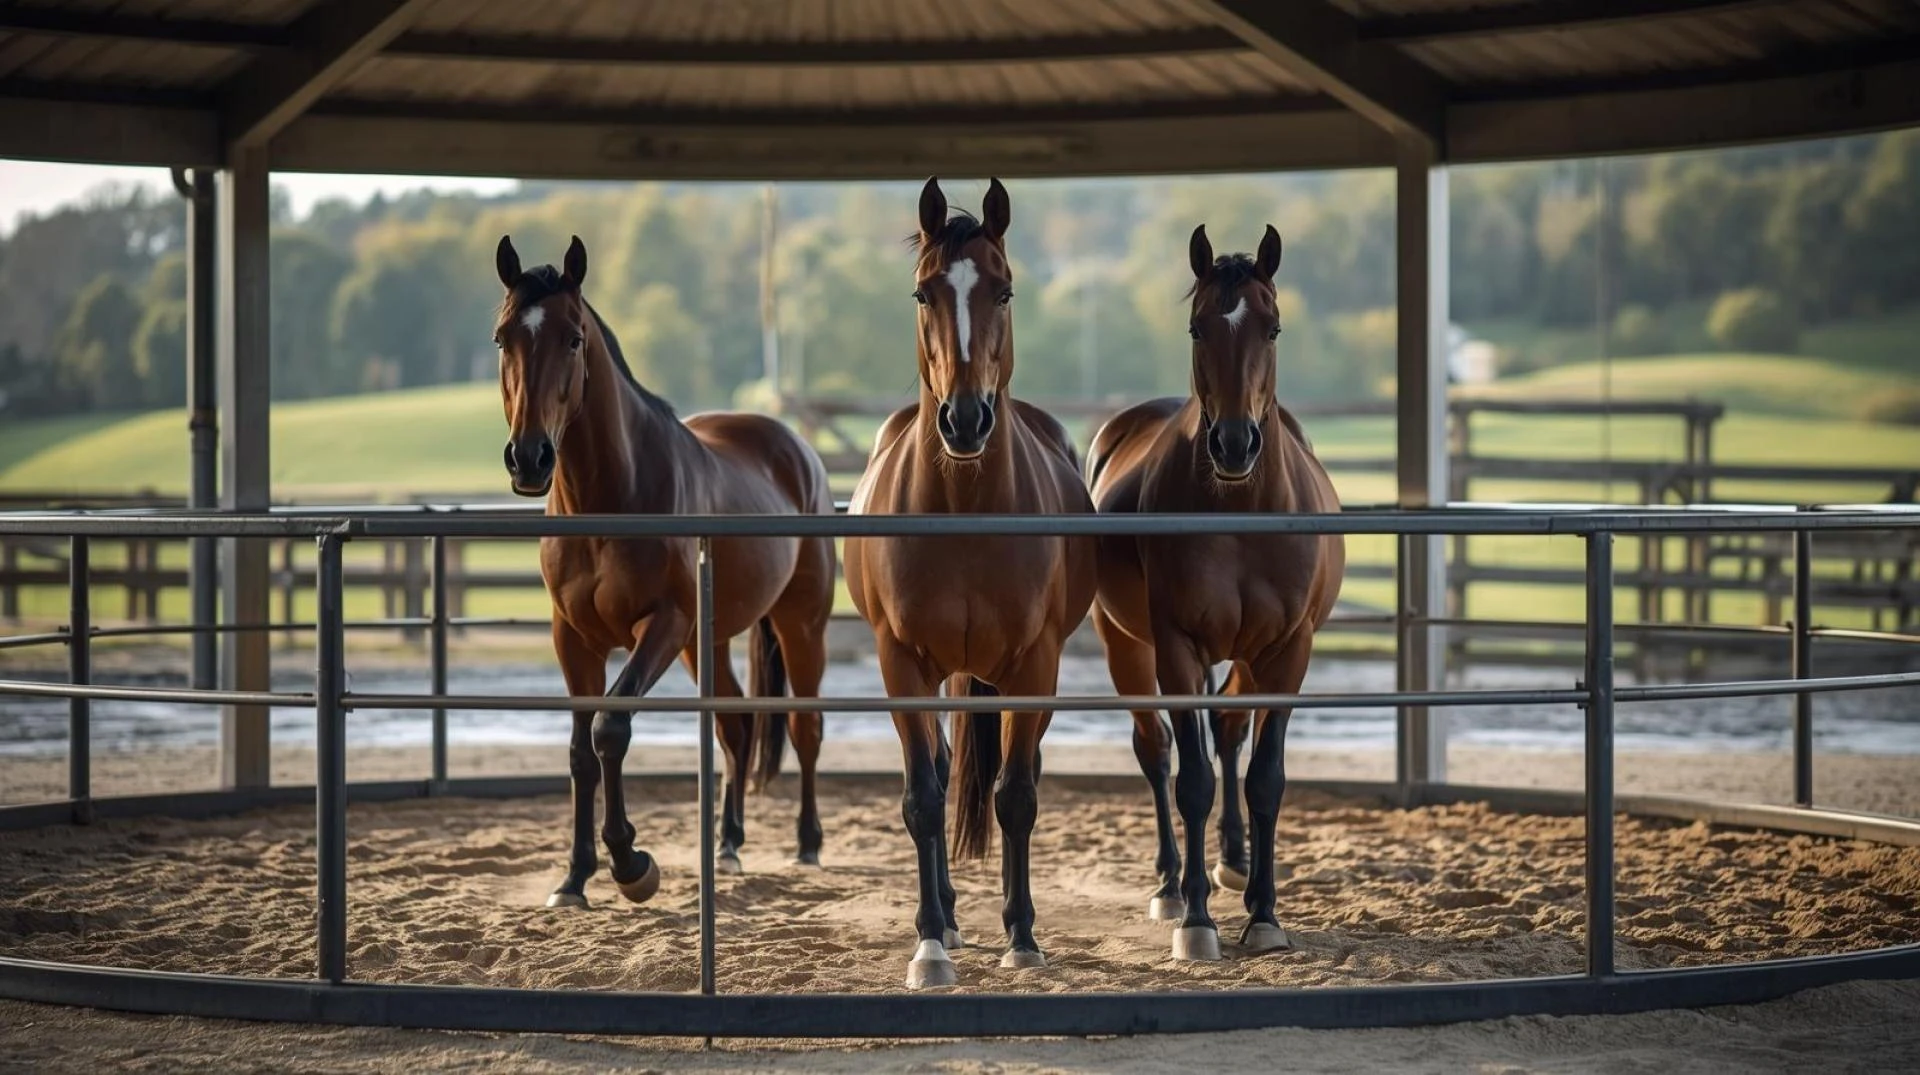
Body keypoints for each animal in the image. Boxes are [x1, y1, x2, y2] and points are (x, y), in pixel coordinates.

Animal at [492, 235, 837, 909]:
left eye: (574, 338)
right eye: (502, 338)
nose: (530, 458)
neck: (612, 499)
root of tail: (797, 449)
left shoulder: (662, 626)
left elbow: (610, 728)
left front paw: (632, 863)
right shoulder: (573, 639)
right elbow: (580, 753)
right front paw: (573, 879)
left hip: (799, 626)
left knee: (805, 726)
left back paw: (808, 844)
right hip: (711, 640)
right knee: (736, 724)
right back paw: (727, 845)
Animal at [843, 177, 1098, 989]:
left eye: (1005, 290)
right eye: (923, 292)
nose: (964, 420)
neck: (961, 509)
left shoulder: (1035, 665)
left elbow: (1015, 796)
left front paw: (1022, 935)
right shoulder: (901, 664)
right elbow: (925, 797)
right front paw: (929, 942)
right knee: (944, 770)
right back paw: (950, 918)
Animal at [1086, 224, 1345, 961]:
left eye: (1274, 327)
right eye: (1197, 327)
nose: (1234, 444)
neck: (1241, 512)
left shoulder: (1287, 650)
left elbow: (1264, 778)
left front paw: (1264, 913)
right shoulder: (1176, 647)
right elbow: (1192, 780)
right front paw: (1198, 921)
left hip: (1246, 655)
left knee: (1228, 732)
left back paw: (1233, 861)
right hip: (1128, 648)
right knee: (1157, 751)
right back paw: (1173, 886)